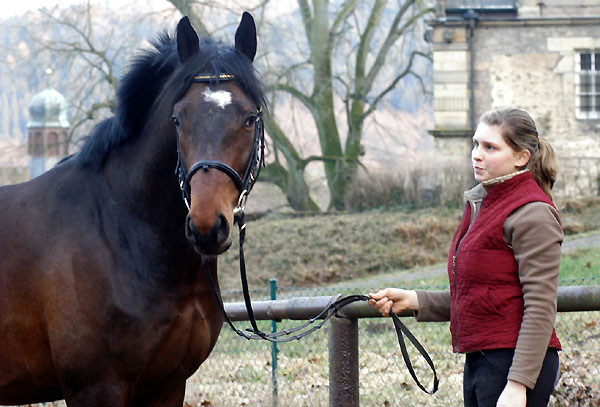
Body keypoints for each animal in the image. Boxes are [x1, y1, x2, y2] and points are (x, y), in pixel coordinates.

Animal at [0, 12, 266, 407]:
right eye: (178, 118)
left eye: (249, 118)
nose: (205, 226)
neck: (123, 229)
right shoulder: (96, 388)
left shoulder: (167, 386)